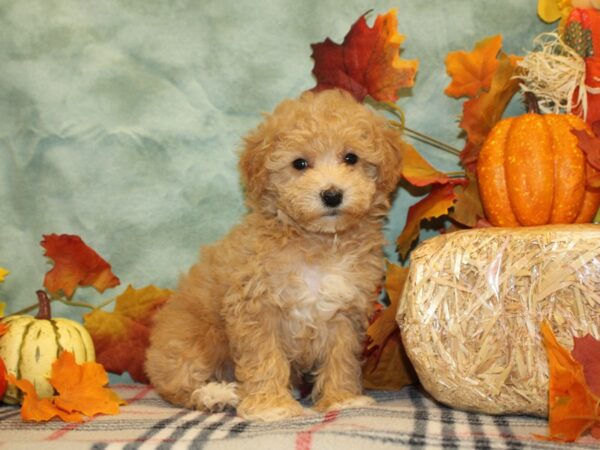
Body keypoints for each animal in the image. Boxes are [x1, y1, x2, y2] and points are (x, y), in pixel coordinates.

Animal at [145, 89, 406, 422]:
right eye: (299, 164)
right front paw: (271, 405)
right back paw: (216, 394)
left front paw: (342, 398)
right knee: (180, 383)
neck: (319, 244)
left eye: (351, 158)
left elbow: (341, 357)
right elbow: (264, 357)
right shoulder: (255, 307)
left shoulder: (344, 311)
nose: (332, 194)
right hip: (194, 338)